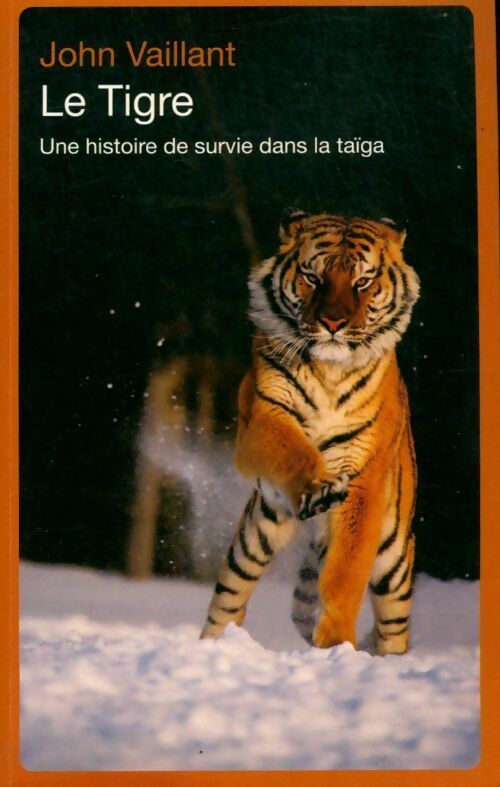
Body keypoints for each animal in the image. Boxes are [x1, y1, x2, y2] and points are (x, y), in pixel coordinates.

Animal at [200, 209, 420, 655]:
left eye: (362, 282)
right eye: (313, 277)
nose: (333, 322)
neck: (328, 371)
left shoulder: (364, 480)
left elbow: (345, 574)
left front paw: (336, 644)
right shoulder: (262, 420)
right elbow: (293, 451)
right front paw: (318, 488)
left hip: (395, 566)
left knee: (393, 626)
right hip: (253, 537)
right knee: (227, 599)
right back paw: (213, 647)